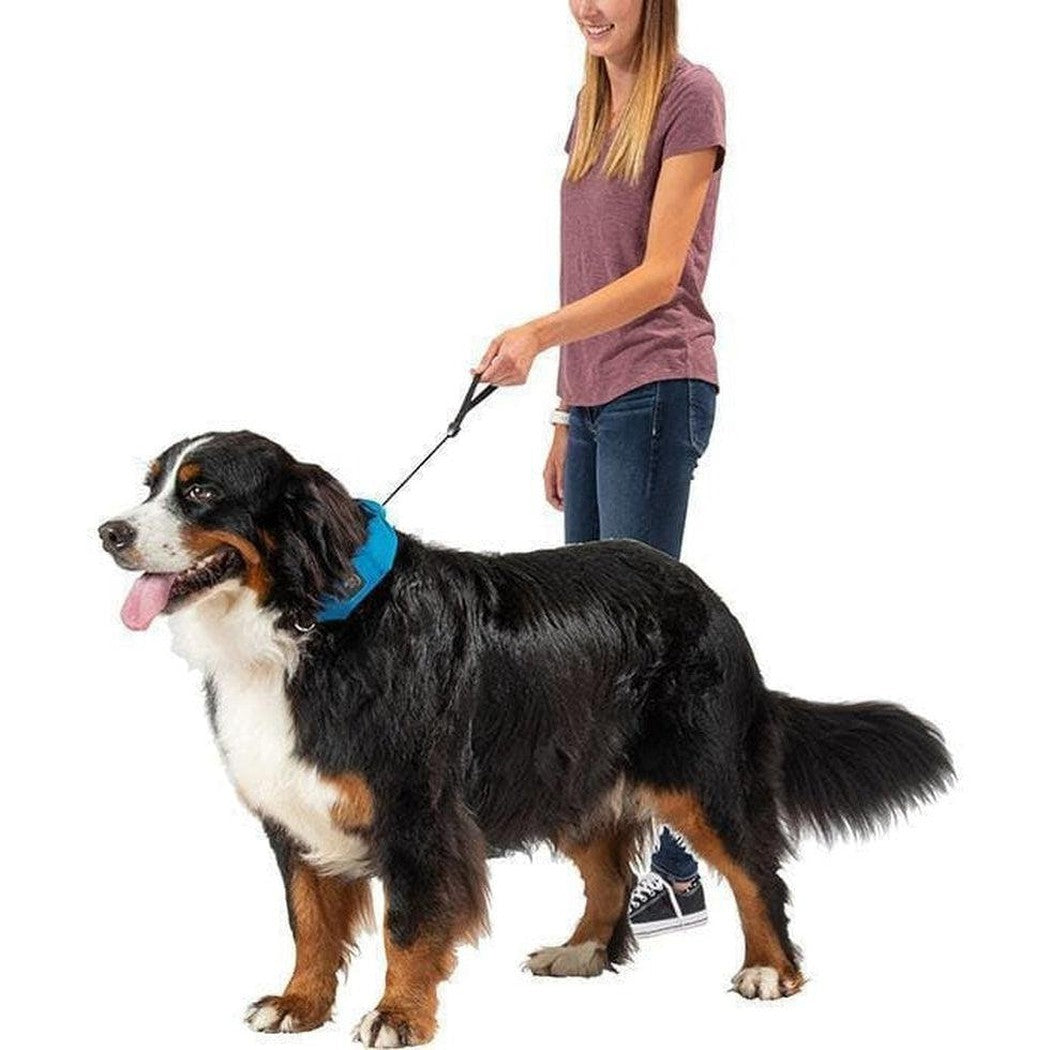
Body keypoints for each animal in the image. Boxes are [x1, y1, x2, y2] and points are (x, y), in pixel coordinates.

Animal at [99, 430, 952, 1046]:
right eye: (151, 485)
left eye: (201, 490)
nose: (109, 531)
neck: (303, 626)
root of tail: (705, 592)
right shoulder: (293, 811)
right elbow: (308, 919)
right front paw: (298, 1002)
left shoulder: (419, 814)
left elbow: (408, 927)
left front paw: (398, 1016)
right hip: (569, 773)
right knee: (608, 875)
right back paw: (582, 950)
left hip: (703, 774)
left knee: (755, 873)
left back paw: (770, 970)